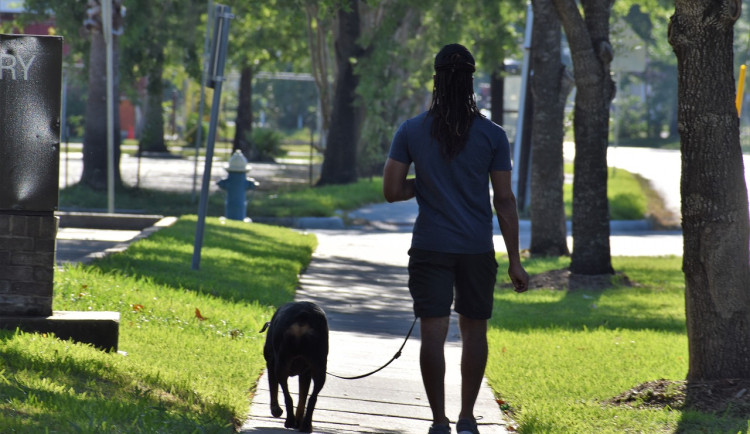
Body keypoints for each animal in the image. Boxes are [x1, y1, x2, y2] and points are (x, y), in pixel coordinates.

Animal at [262, 302, 328, 430]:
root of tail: (303, 314)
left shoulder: (271, 364)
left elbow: (273, 388)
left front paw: (276, 410)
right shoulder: (306, 373)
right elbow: (302, 397)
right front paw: (299, 420)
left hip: (281, 363)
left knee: (287, 396)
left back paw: (290, 421)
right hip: (320, 365)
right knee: (312, 398)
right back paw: (306, 426)